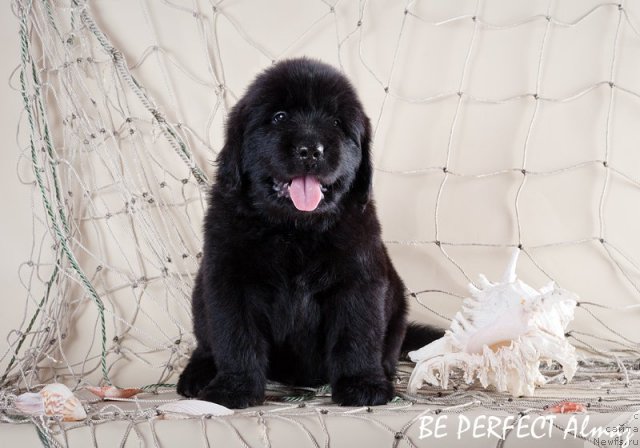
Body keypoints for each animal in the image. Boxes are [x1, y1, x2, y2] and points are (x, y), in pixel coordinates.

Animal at [178, 57, 442, 408]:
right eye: (279, 117)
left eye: (336, 122)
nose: (311, 150)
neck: (295, 230)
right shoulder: (229, 279)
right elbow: (236, 337)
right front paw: (234, 388)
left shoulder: (358, 280)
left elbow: (356, 335)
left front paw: (362, 384)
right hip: (200, 290)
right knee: (206, 342)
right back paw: (198, 373)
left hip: (396, 298)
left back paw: (383, 371)